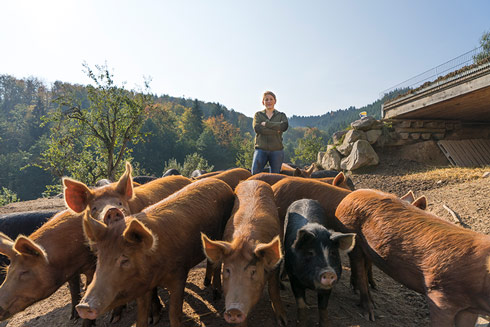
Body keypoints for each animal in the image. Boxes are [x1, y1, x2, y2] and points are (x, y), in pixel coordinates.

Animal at [76, 179, 235, 327]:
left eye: (125, 259)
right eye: (99, 258)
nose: (83, 306)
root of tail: (221, 182)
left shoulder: (179, 274)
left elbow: (174, 314)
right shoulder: (141, 284)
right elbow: (141, 318)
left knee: (216, 263)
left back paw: (216, 295)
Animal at [200, 181, 286, 326]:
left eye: (253, 271)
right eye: (227, 270)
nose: (234, 310)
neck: (245, 239)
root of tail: (253, 180)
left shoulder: (276, 266)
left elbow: (273, 289)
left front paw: (283, 321)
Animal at [334, 190, 490, 327]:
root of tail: (349, 196)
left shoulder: (468, 309)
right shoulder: (438, 295)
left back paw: (373, 304)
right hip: (352, 237)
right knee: (359, 271)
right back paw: (369, 315)